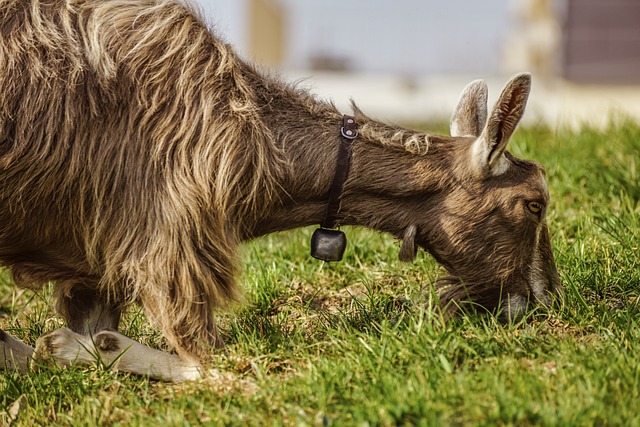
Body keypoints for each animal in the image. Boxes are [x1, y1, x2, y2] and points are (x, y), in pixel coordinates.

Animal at [0, 0, 560, 382]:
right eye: (533, 203)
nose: (542, 300)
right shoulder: (167, 242)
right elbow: (216, 368)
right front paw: (84, 347)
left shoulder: (95, 264)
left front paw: (64, 347)